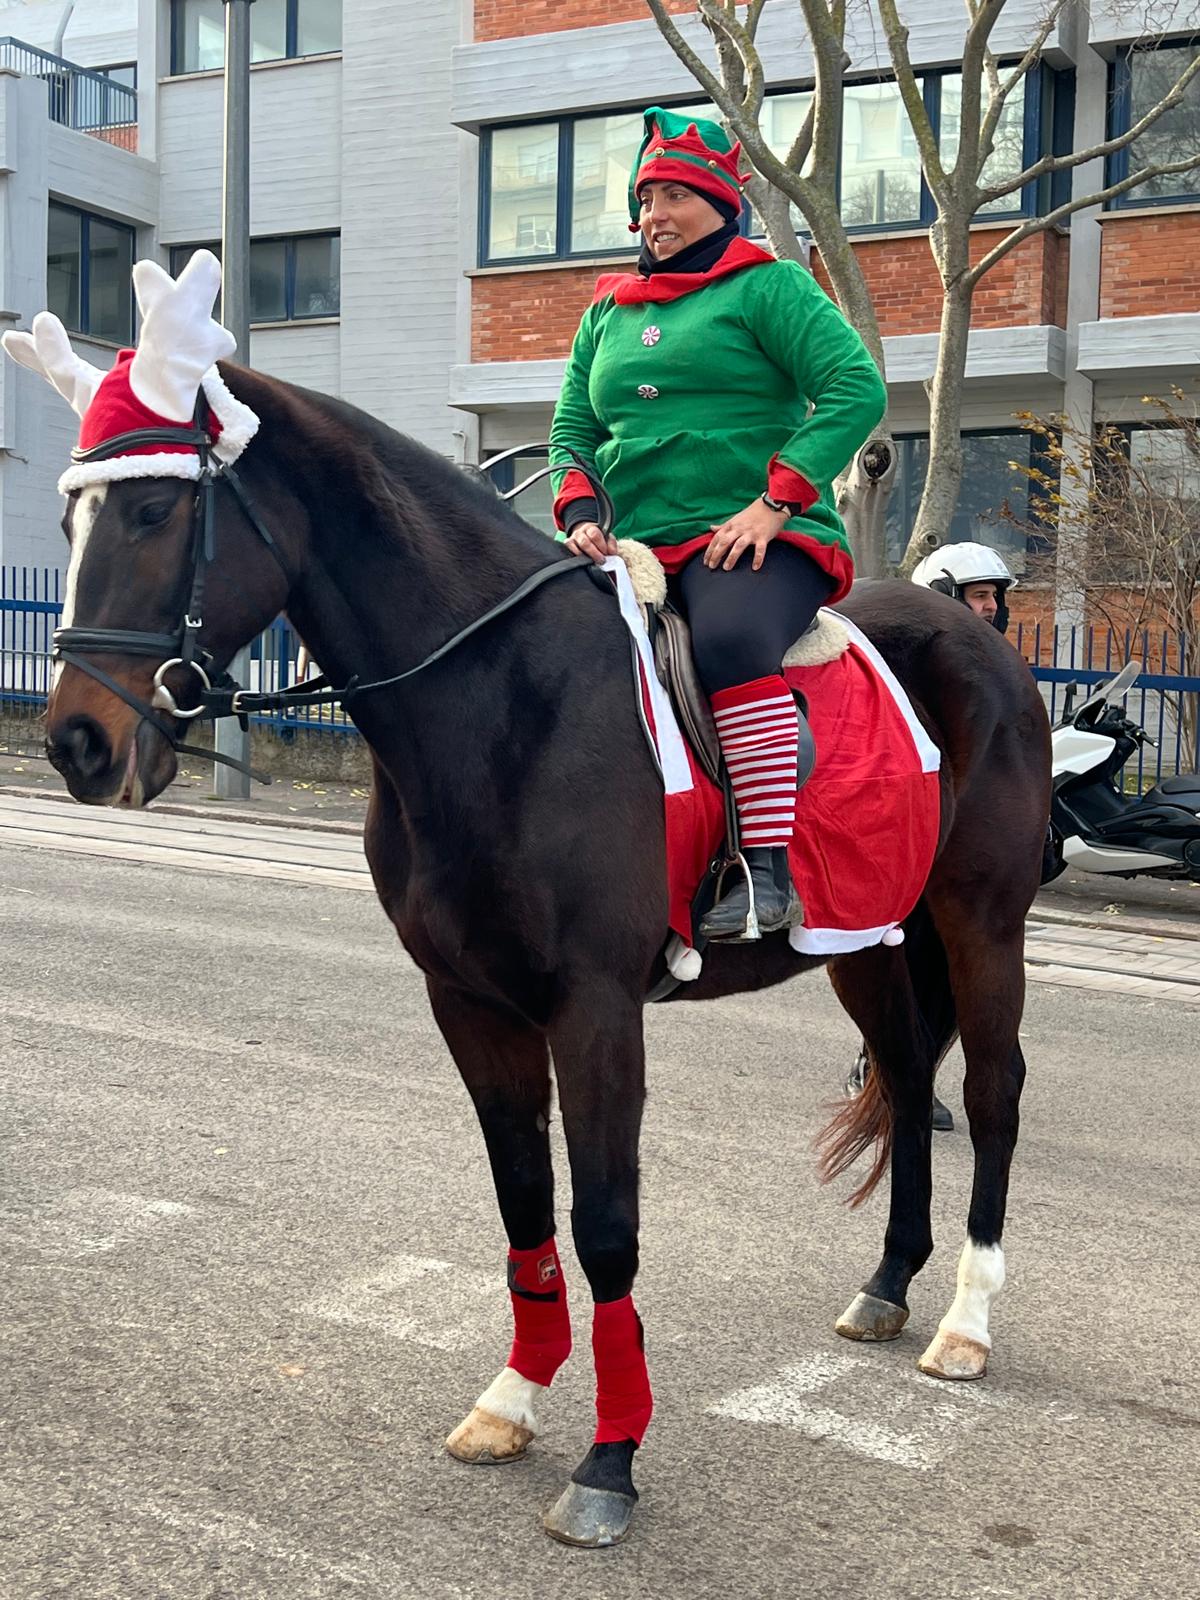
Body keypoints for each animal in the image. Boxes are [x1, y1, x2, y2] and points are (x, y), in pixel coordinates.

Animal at [35, 363, 1049, 1548]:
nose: (76, 744)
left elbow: (604, 1226)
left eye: (156, 509)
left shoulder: (595, 1010)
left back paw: (967, 1320)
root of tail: (978, 638)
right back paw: (889, 1283)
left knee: (989, 1093)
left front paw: (610, 1462)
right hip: (867, 944)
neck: (500, 692)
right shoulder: (472, 1005)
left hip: (982, 923)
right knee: (903, 1074)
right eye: (70, 515)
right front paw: (514, 1397)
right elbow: (522, 1204)